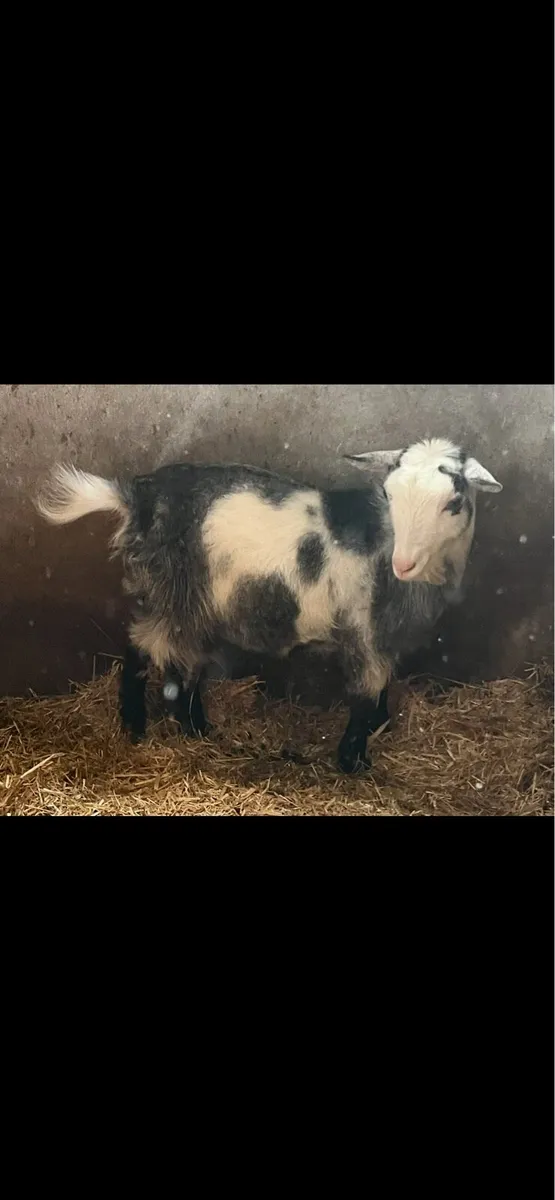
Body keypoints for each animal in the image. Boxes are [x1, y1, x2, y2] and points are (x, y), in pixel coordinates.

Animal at [36, 438, 502, 773]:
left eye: (454, 503)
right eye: (387, 495)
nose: (403, 563)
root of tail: (138, 497)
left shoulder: (385, 636)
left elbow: (384, 687)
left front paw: (378, 729)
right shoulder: (364, 633)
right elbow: (366, 693)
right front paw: (354, 762)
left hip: (195, 604)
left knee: (183, 665)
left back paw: (197, 729)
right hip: (170, 590)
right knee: (140, 649)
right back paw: (136, 727)